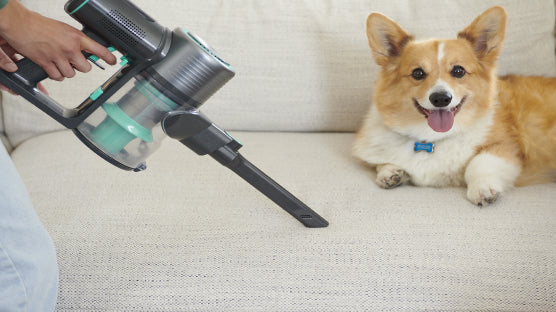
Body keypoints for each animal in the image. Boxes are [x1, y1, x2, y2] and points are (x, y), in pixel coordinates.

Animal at [352, 6, 556, 206]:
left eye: (459, 71)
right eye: (418, 73)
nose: (441, 98)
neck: (432, 139)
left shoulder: (505, 147)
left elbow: (478, 163)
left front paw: (482, 188)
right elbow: (383, 161)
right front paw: (390, 171)